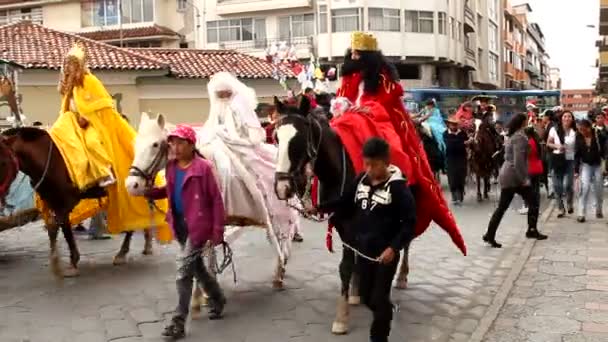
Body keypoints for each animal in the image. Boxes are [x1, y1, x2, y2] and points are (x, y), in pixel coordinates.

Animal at [126, 113, 296, 292]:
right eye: (135, 143)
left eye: (155, 144)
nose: (131, 185)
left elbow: (208, 251)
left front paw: (203, 291)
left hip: (281, 212)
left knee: (283, 237)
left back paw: (280, 272)